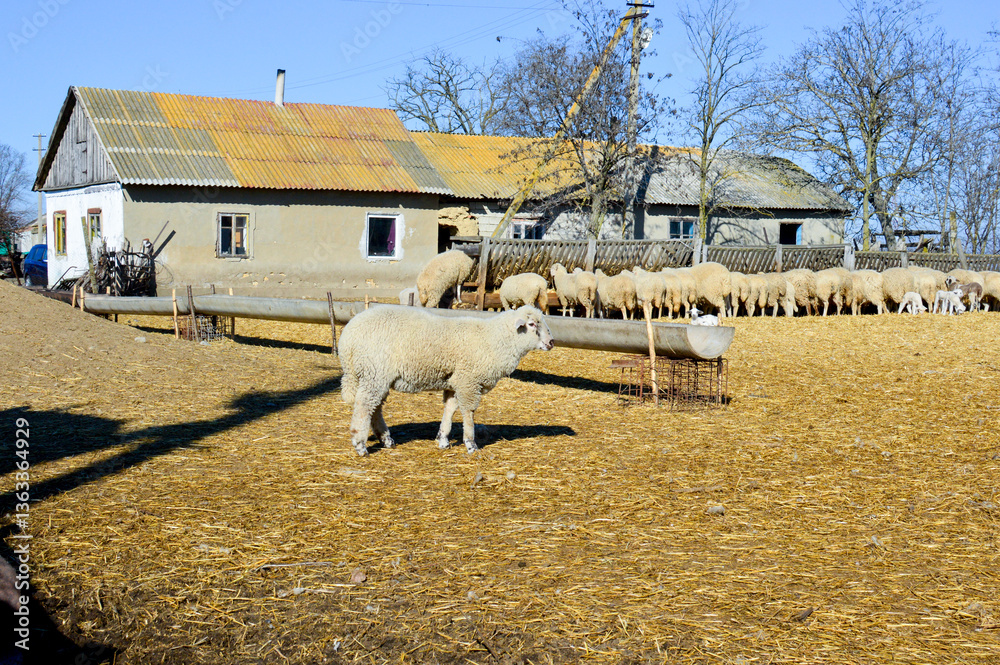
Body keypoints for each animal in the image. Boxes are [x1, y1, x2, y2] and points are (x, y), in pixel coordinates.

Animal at [338, 305, 554, 456]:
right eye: (532, 324)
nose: (551, 342)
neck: (495, 339)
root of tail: (347, 339)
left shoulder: (455, 381)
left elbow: (450, 409)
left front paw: (443, 439)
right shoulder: (469, 381)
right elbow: (468, 412)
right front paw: (471, 444)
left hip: (377, 377)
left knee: (375, 407)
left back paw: (386, 440)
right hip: (375, 372)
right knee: (364, 406)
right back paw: (360, 444)